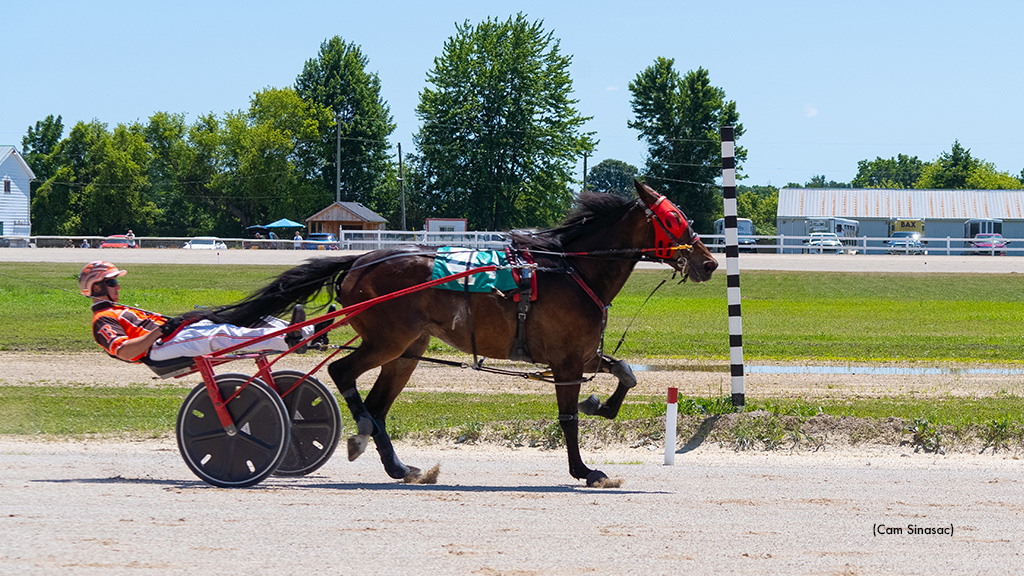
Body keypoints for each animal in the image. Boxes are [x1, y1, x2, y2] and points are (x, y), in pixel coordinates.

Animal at [201, 179, 720, 483]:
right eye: (674, 218)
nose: (710, 262)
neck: (568, 269)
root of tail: (361, 259)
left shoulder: (579, 354)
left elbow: (625, 373)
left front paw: (603, 406)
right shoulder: (566, 361)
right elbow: (569, 418)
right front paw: (585, 469)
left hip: (408, 350)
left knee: (377, 403)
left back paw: (398, 465)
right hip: (388, 339)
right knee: (345, 375)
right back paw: (362, 436)